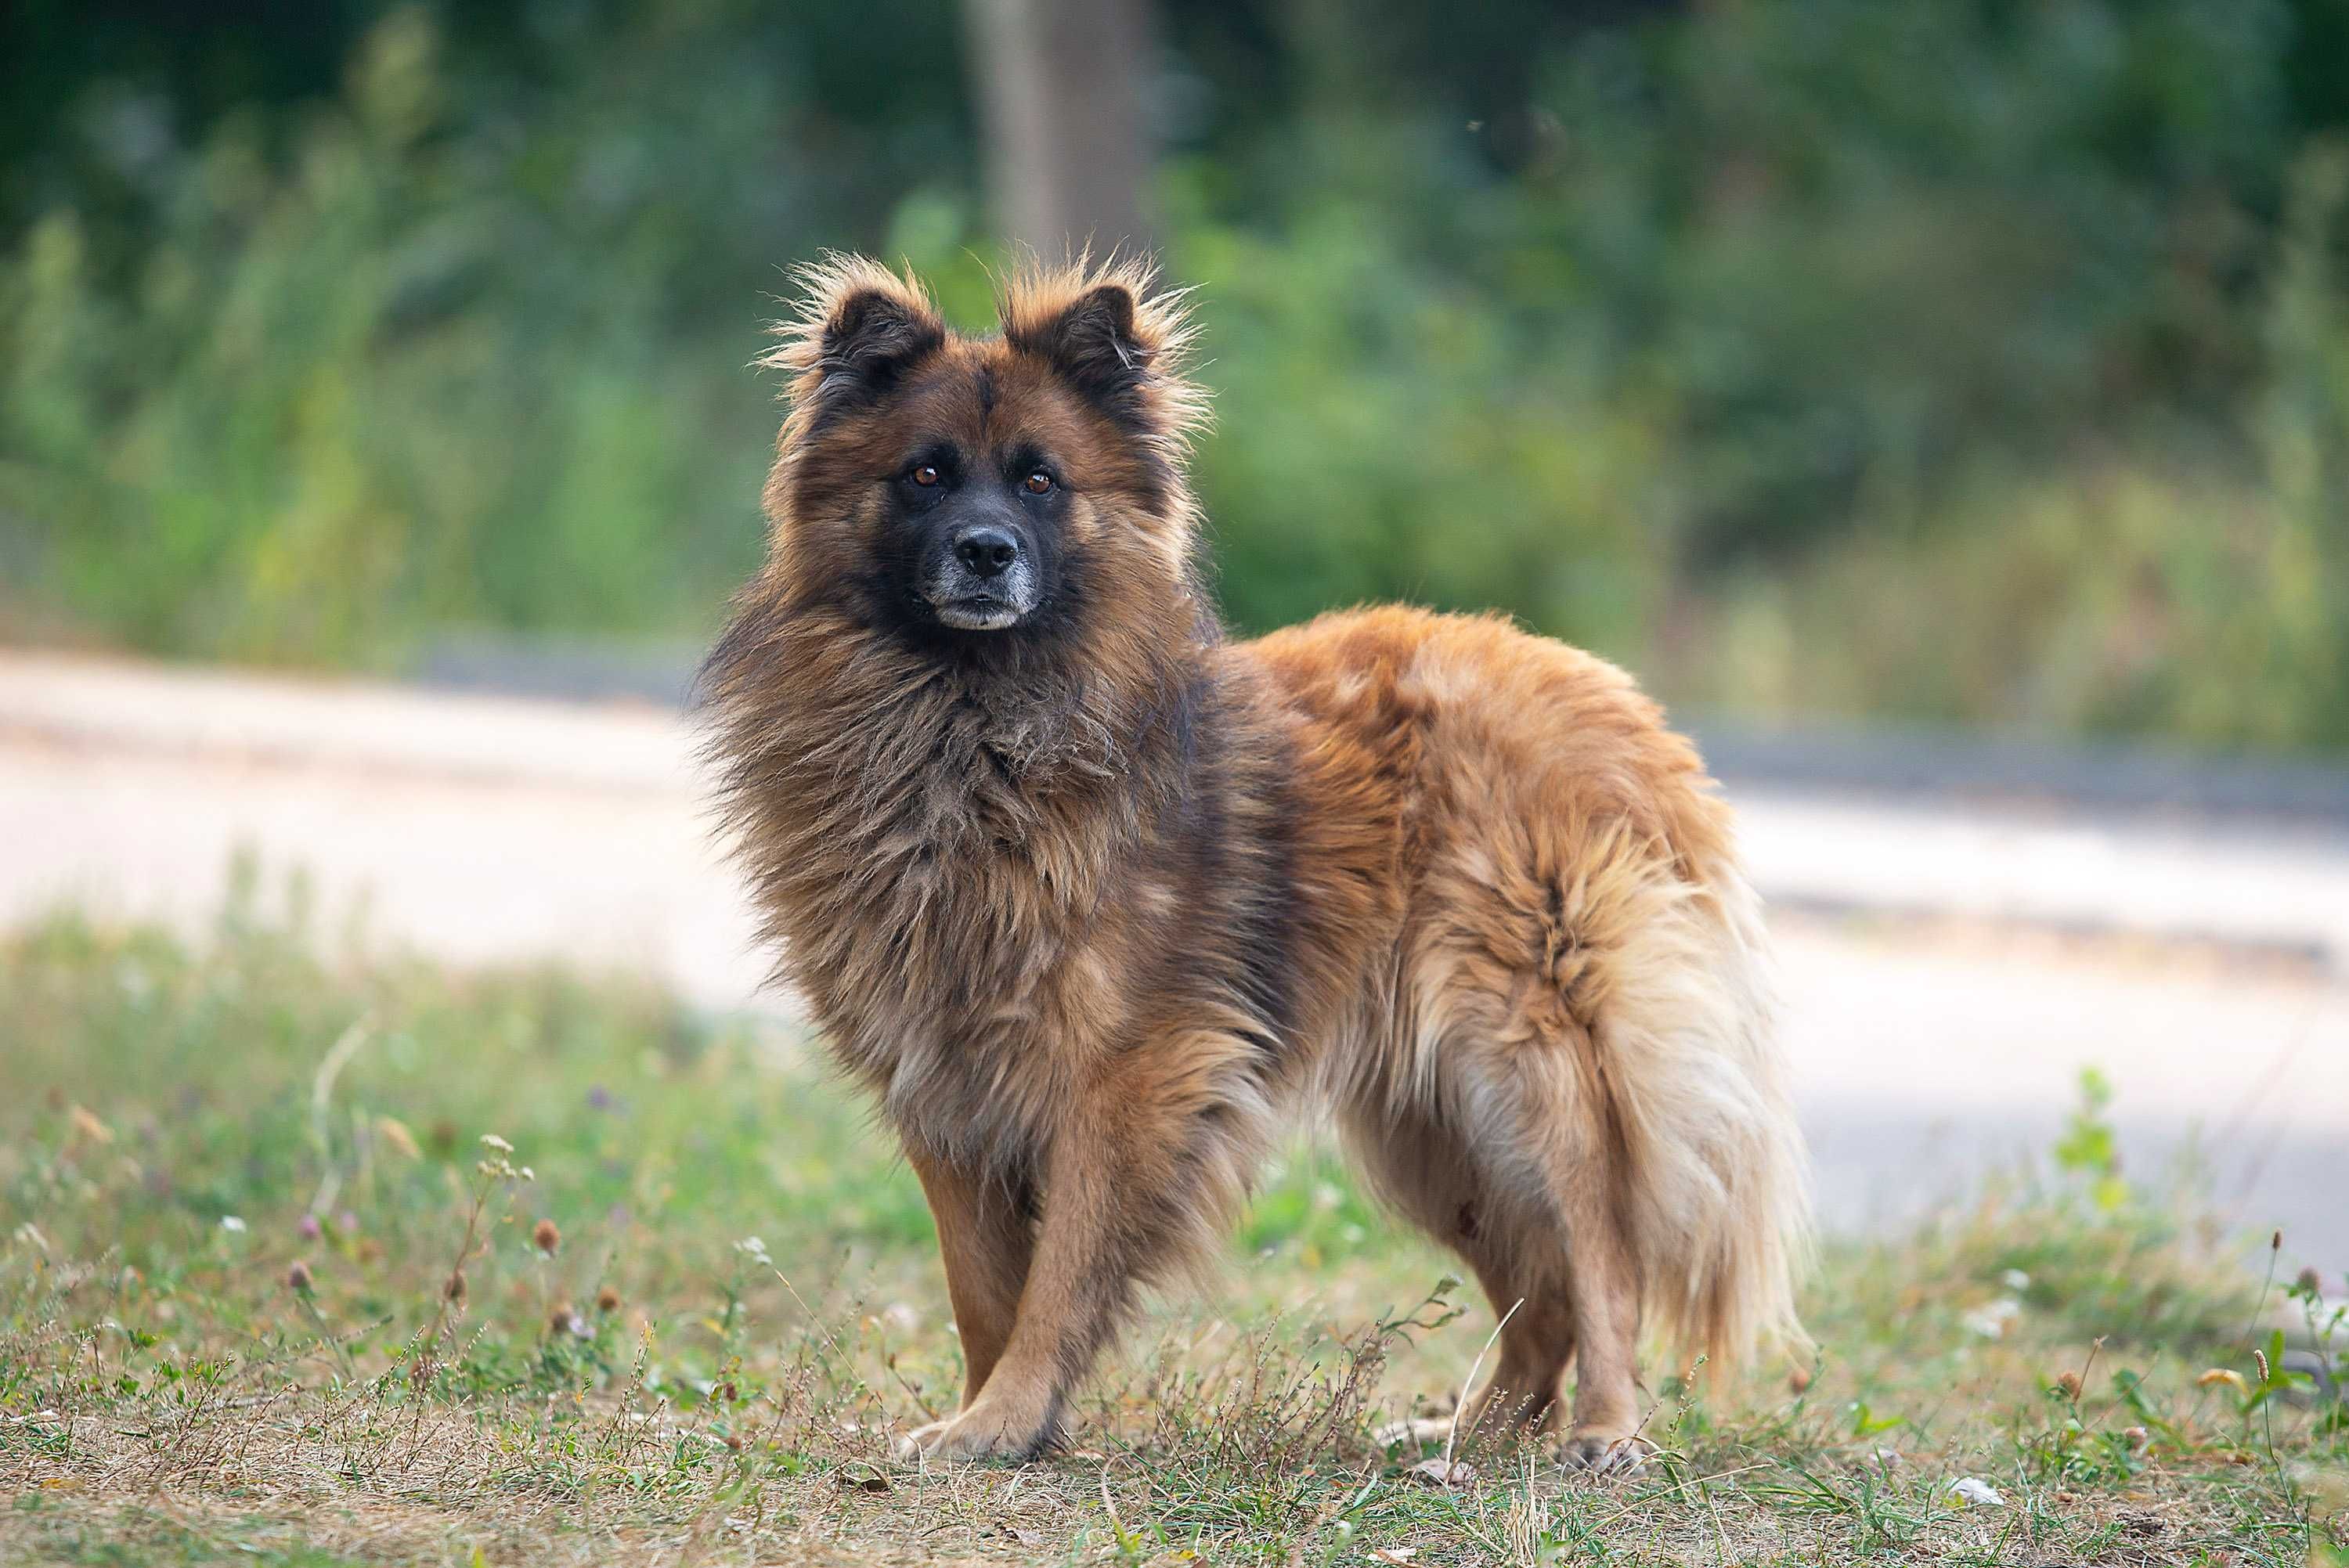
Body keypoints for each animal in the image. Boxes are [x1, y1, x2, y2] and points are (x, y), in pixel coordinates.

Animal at [686, 254, 1804, 1474]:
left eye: (1040, 481)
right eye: (926, 474)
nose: (986, 551)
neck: (975, 729)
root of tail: (1620, 703)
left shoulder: (1127, 1075)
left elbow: (1058, 1277)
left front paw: (1010, 1416)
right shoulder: (942, 1078)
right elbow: (982, 1285)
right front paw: (985, 1420)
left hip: (1526, 1053)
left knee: (1602, 1249)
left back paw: (1602, 1426)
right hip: (1431, 1124)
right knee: (1541, 1287)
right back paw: (1463, 1433)